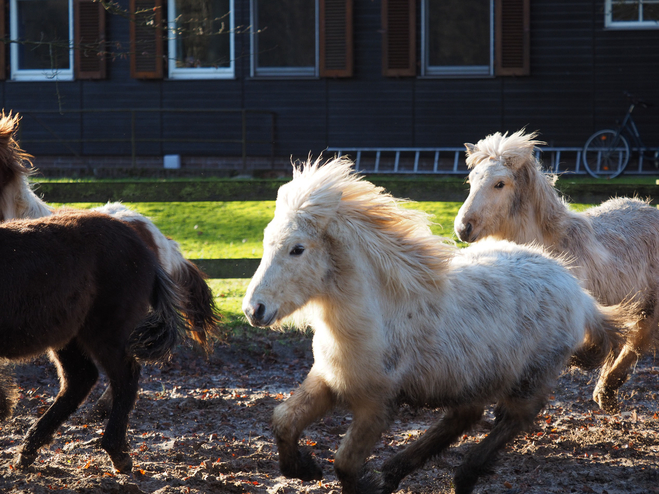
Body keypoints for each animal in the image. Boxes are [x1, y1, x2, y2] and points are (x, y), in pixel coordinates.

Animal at [0, 210, 187, 472]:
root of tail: (140, 245)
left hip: (107, 332)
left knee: (123, 378)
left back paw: (117, 453)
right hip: (70, 336)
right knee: (80, 379)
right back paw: (28, 451)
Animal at [244, 157, 628, 494]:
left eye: (297, 249)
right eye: (266, 241)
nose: (253, 309)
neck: (380, 315)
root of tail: (578, 293)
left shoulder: (376, 405)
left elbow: (346, 463)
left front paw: (356, 481)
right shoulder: (327, 381)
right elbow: (283, 419)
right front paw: (303, 469)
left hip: (529, 379)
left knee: (514, 420)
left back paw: (461, 475)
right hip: (473, 376)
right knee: (466, 416)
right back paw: (395, 471)